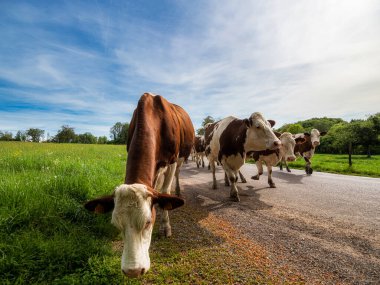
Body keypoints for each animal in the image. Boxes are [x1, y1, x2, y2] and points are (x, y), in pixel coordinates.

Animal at [84, 93, 194, 278]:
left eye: (148, 222)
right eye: (115, 224)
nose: (133, 271)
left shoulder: (172, 160)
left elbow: (164, 191)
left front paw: (165, 227)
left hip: (181, 159)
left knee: (177, 175)